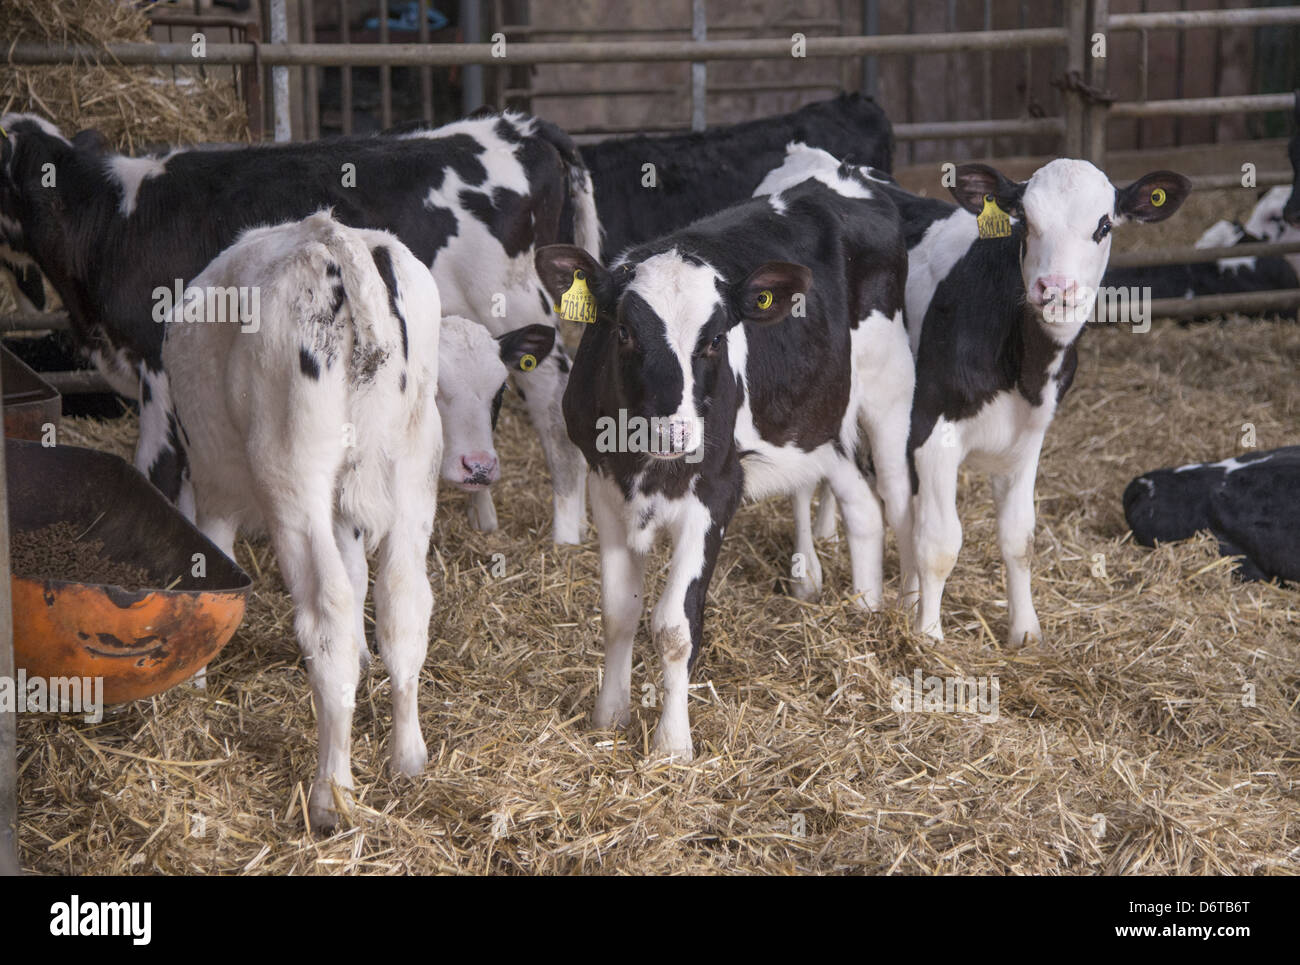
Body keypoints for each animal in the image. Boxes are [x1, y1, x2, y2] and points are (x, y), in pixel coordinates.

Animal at [0, 109, 598, 543]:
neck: (112, 220)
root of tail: (519, 126)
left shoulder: (155, 360)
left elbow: (158, 467)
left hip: (518, 305)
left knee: (554, 411)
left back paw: (566, 534)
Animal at [162, 213, 442, 830]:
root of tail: (343, 243)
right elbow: (359, 575)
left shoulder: (216, 488)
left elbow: (211, 571)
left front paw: (193, 683)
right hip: (416, 460)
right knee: (402, 600)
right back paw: (408, 757)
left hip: (290, 471)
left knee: (327, 611)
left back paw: (330, 795)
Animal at [535, 165, 907, 760]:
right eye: (624, 332)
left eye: (713, 341)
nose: (675, 432)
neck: (646, 464)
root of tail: (848, 175)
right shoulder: (605, 486)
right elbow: (618, 612)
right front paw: (609, 715)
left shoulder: (715, 493)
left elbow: (674, 626)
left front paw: (672, 745)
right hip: (819, 427)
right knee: (862, 507)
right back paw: (864, 609)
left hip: (889, 391)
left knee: (894, 496)